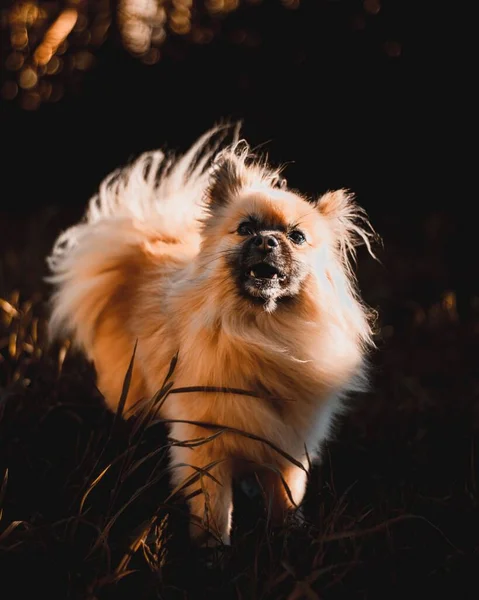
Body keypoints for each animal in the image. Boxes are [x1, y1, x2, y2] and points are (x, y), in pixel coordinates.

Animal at [47, 126, 378, 548]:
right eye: (246, 229)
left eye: (297, 237)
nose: (267, 240)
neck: (261, 332)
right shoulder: (206, 445)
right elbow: (214, 509)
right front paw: (211, 550)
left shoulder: (289, 447)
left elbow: (285, 498)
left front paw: (287, 537)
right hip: (130, 390)